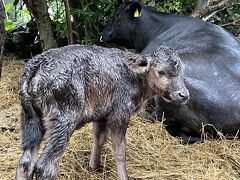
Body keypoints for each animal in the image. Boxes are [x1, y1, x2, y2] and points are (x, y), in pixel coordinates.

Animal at [15, 45, 189, 180]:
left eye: (182, 71)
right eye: (161, 72)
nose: (184, 94)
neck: (135, 77)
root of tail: (35, 65)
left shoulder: (102, 115)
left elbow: (98, 139)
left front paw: (94, 167)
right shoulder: (120, 113)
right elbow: (120, 150)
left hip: (31, 121)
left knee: (25, 163)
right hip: (63, 119)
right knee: (46, 166)